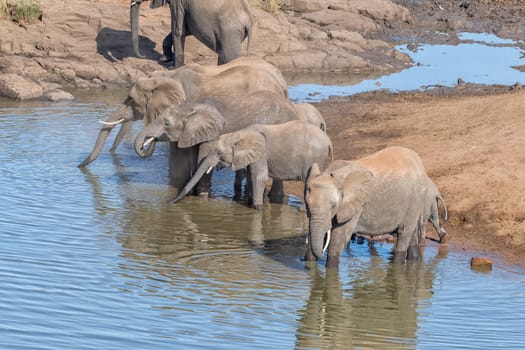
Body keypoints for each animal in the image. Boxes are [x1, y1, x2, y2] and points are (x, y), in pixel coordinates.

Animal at [168, 121, 332, 208]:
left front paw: (257, 208)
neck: (239, 134)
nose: (170, 202)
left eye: (219, 153)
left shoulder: (261, 154)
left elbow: (258, 177)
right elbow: (250, 176)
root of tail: (329, 141)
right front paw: (249, 203)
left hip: (315, 158)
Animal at [302, 145, 446, 268]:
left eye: (333, 205)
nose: (320, 254)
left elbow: (339, 238)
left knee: (404, 233)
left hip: (416, 198)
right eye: (307, 205)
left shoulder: (356, 206)